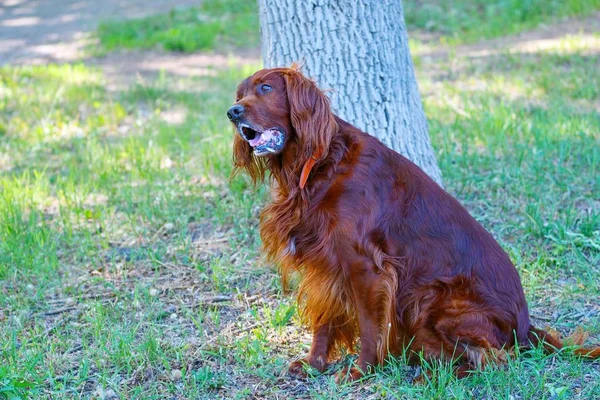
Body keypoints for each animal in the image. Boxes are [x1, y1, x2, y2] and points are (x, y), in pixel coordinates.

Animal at [226, 65, 600, 382]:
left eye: (266, 87)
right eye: (239, 93)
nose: (232, 112)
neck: (317, 164)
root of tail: (525, 327)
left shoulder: (366, 268)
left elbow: (369, 326)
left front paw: (361, 370)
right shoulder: (326, 266)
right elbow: (325, 321)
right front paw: (313, 364)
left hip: (430, 298)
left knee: (493, 360)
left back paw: (431, 376)